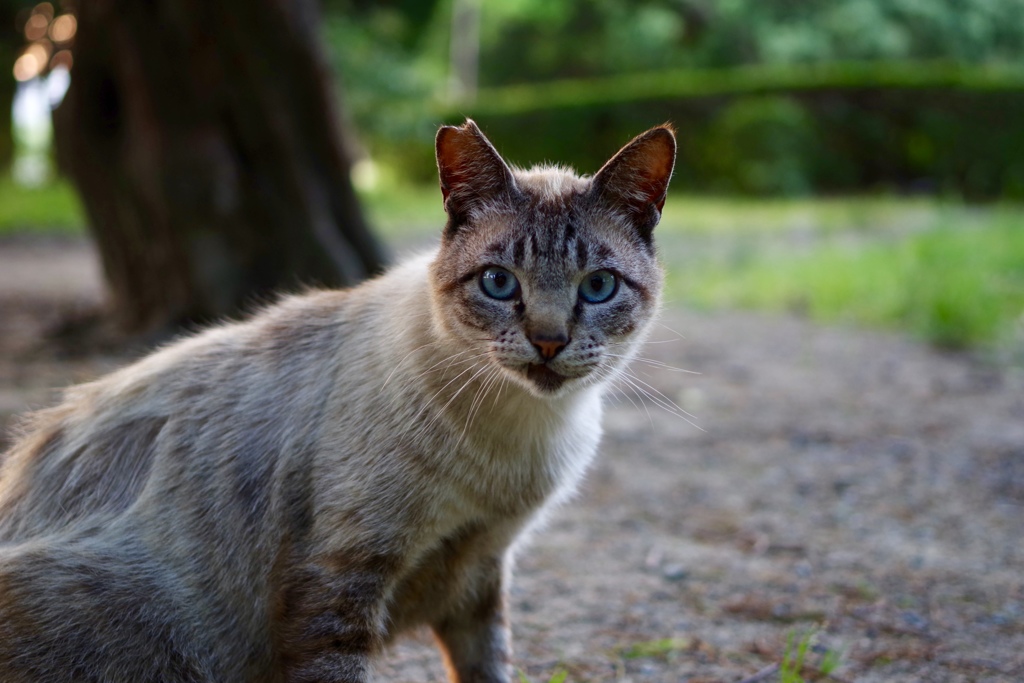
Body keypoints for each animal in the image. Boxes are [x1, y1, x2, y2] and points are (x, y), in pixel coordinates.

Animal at [0, 120, 675, 679]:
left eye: (598, 287)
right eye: (498, 283)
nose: (549, 342)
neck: (519, 439)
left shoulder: (481, 571)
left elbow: (490, 667)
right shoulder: (342, 585)